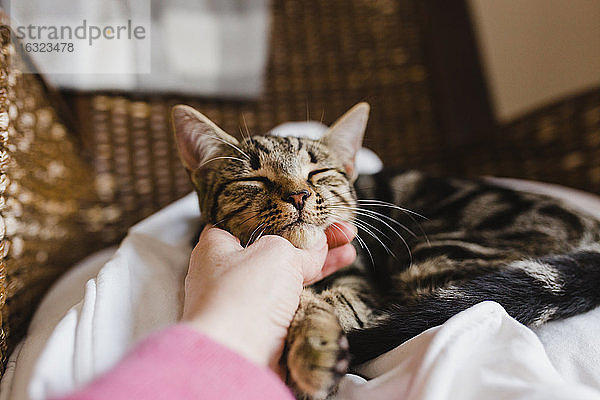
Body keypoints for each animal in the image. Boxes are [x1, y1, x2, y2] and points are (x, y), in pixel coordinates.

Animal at [171, 104, 600, 400]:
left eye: (317, 174)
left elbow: (329, 304)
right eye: (254, 179)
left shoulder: (361, 284)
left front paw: (315, 352)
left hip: (433, 259)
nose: (299, 195)